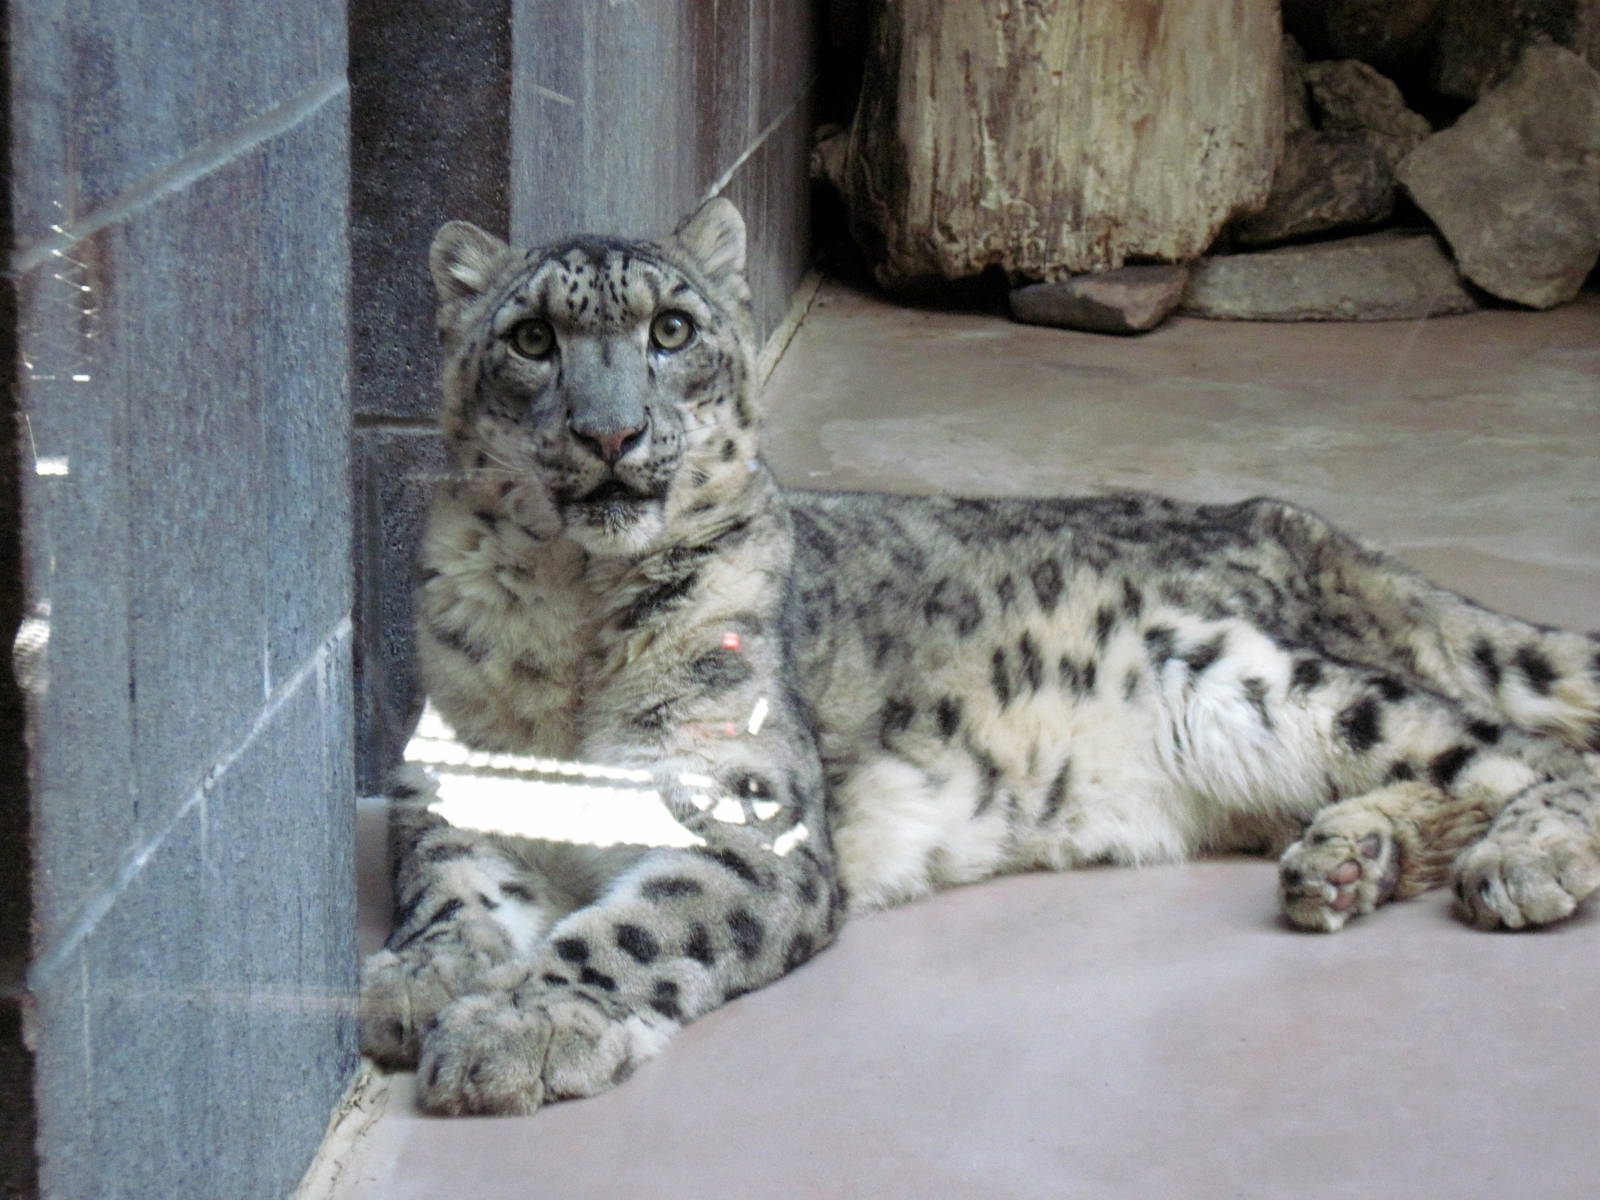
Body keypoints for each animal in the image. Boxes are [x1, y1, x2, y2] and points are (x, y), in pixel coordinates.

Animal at [360, 197, 1600, 1116]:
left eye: (671, 329)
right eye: (531, 339)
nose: (609, 433)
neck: (575, 614)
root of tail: (1288, 519)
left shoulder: (747, 815)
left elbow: (631, 926)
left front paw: (516, 1026)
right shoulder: (457, 785)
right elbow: (445, 884)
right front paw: (420, 981)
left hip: (1273, 682)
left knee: (1526, 754)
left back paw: (1522, 858)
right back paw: (1345, 861)